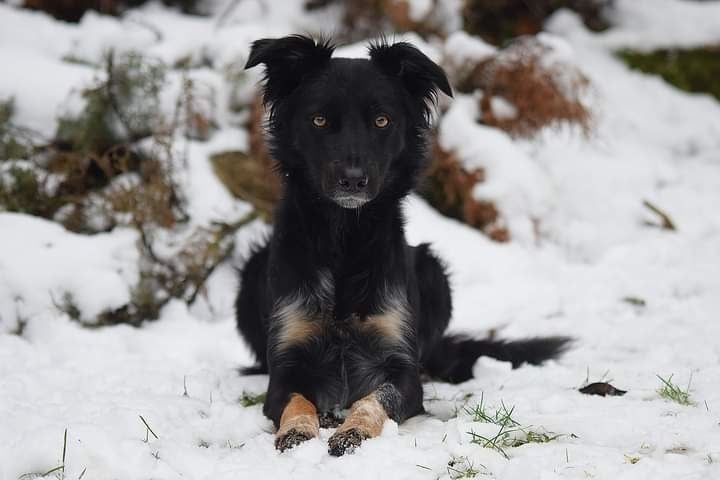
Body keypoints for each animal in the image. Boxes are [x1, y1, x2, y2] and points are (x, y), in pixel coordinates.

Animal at [236, 35, 568, 456]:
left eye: (382, 121)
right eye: (319, 120)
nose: (353, 180)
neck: (345, 237)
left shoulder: (402, 366)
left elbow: (376, 398)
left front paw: (353, 431)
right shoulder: (286, 364)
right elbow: (297, 400)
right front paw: (298, 430)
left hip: (432, 268)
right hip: (252, 271)